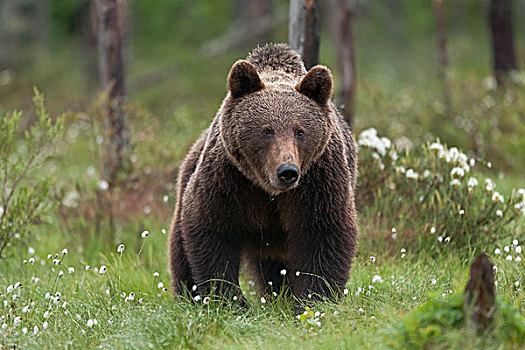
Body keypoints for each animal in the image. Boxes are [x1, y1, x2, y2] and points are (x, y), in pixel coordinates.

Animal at [170, 43, 358, 306]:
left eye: (300, 131)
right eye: (266, 130)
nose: (287, 171)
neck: (269, 190)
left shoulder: (318, 180)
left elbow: (324, 233)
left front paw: (313, 299)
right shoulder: (228, 179)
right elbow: (213, 230)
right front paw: (230, 301)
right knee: (181, 247)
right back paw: (188, 295)